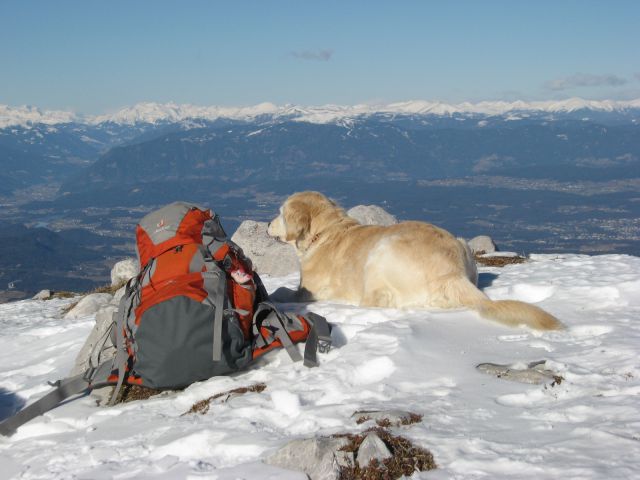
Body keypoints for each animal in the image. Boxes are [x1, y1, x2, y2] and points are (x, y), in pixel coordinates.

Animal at [268, 191, 564, 330]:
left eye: (280, 213)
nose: (268, 225)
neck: (325, 233)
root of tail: (452, 273)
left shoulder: (307, 292)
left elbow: (281, 290)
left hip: (381, 251)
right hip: (463, 244)